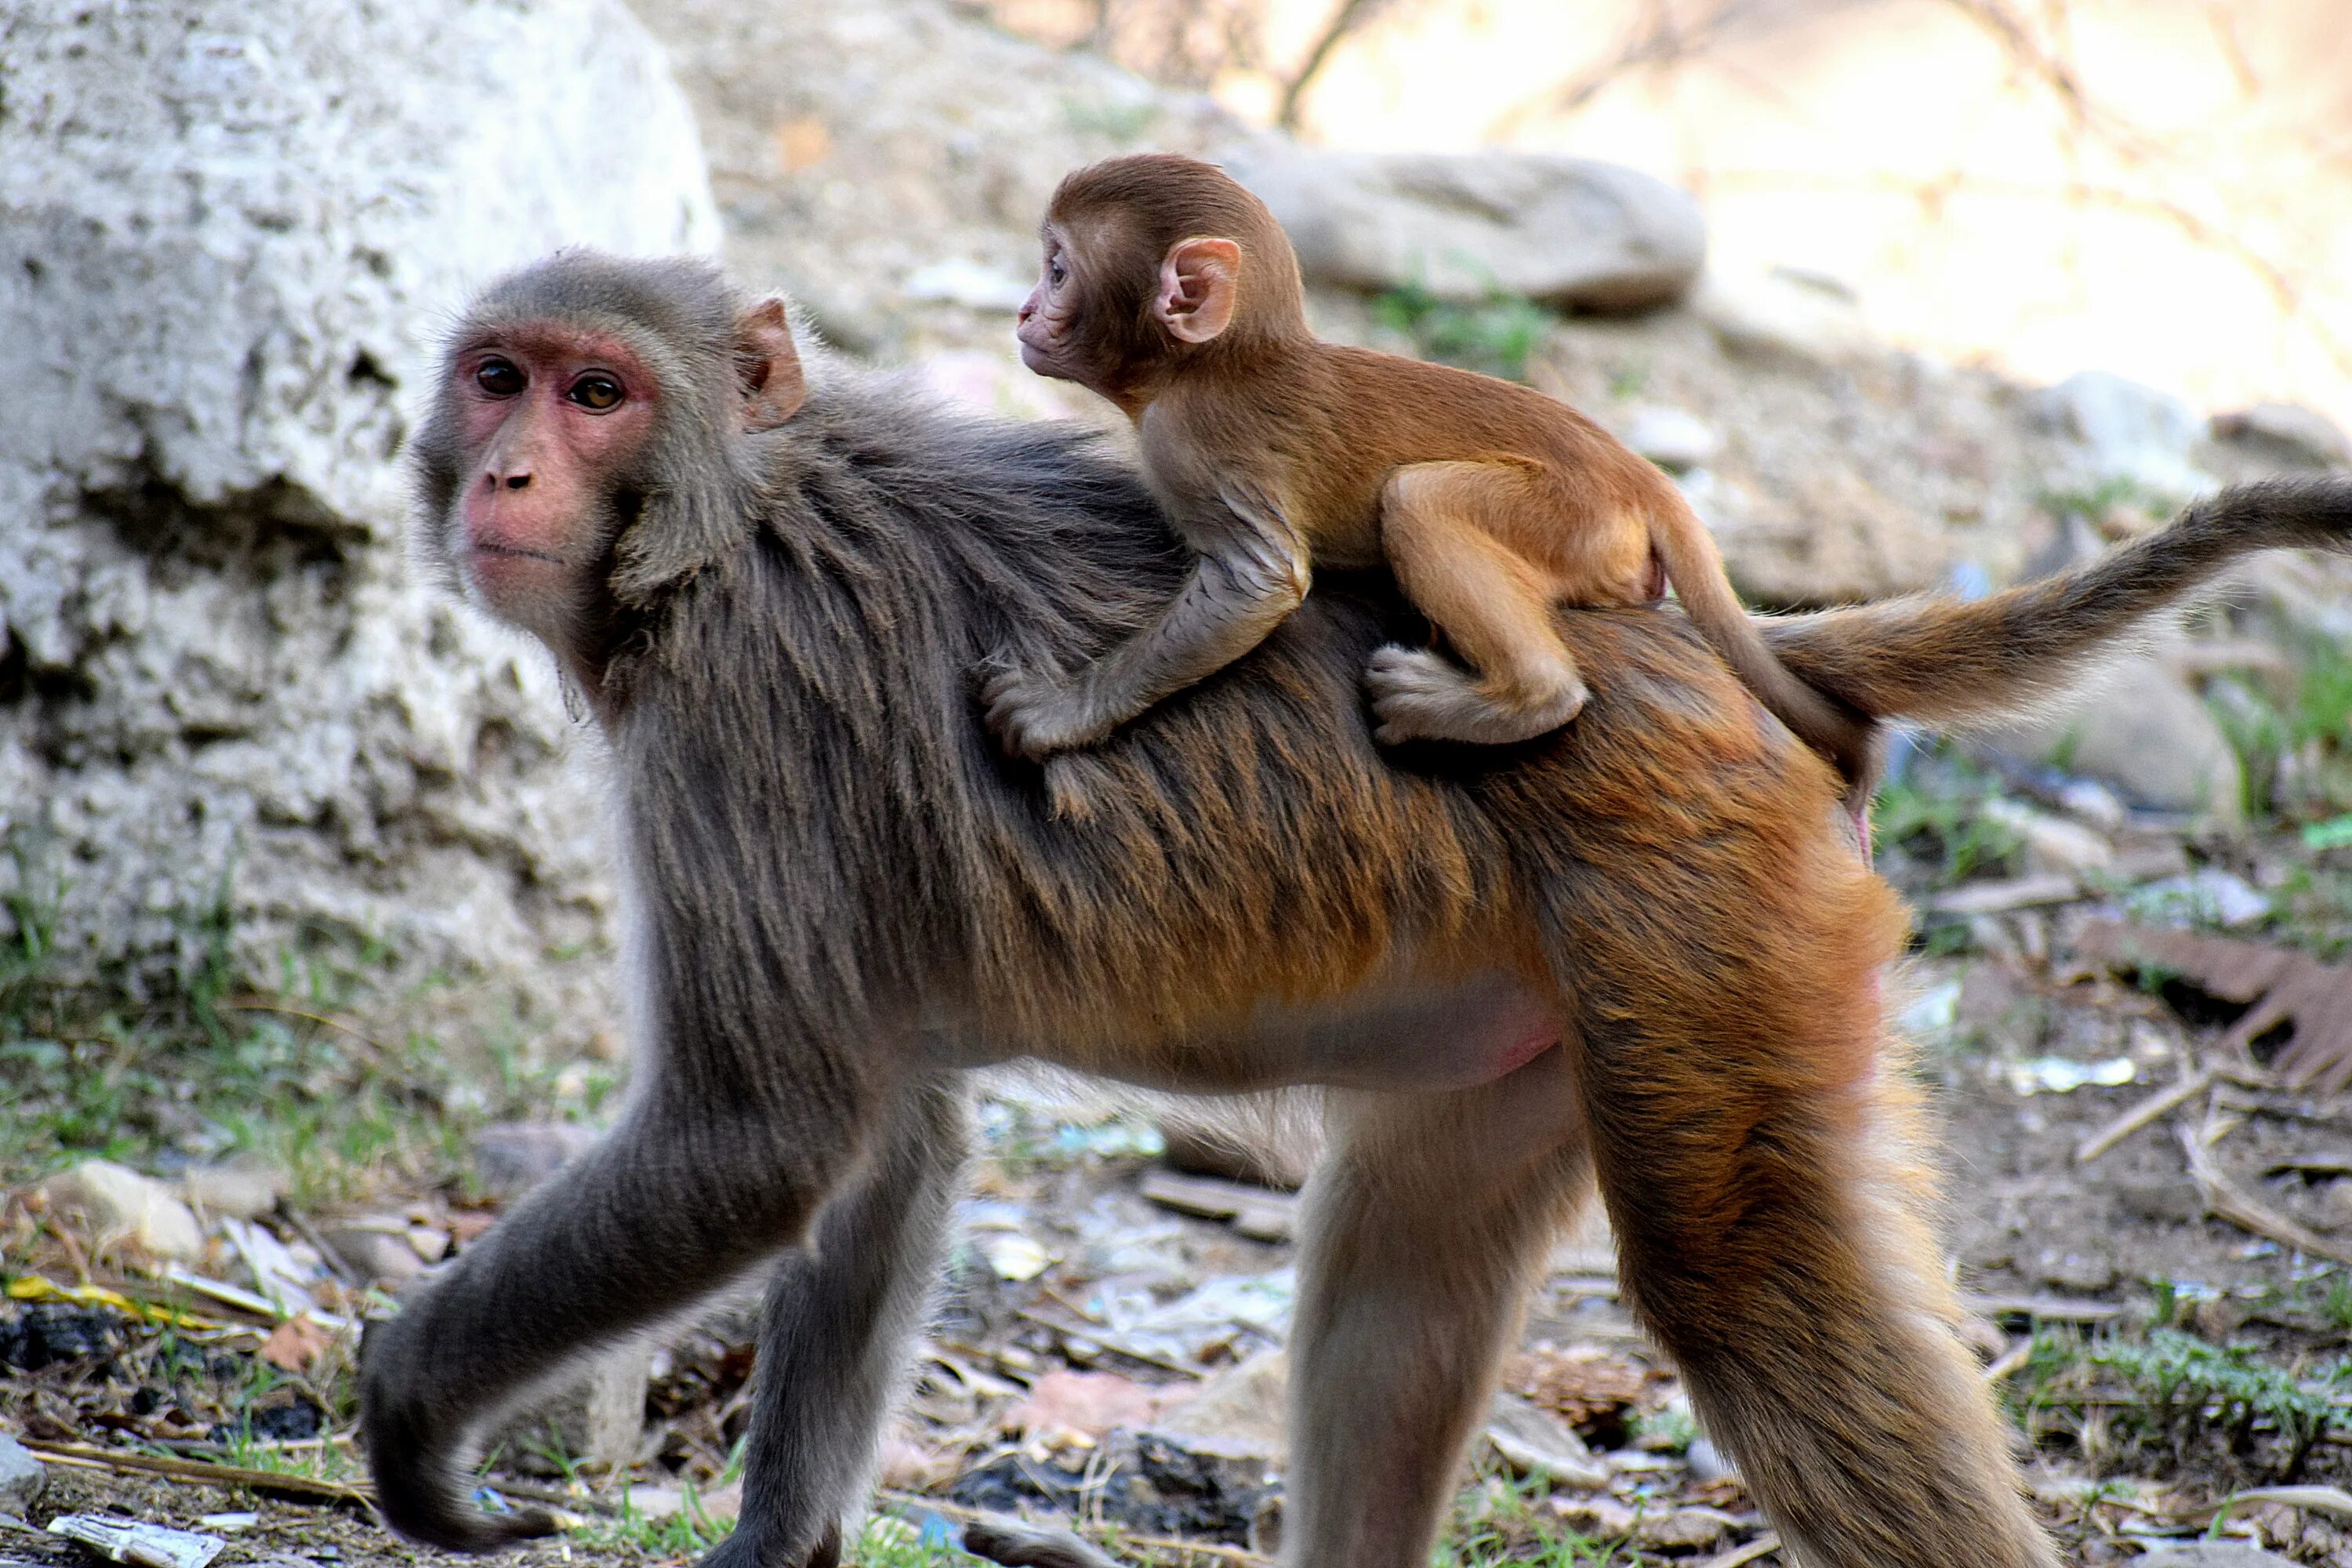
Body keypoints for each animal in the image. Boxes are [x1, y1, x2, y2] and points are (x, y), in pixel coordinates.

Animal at [983, 154, 1863, 789]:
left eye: (1057, 270)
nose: (1024, 311)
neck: (1209, 366)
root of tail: (1636, 475)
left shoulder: (1196, 441)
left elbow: (1258, 582)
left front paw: (1062, 711)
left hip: (1570, 517)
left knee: (1421, 498)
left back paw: (1518, 700)